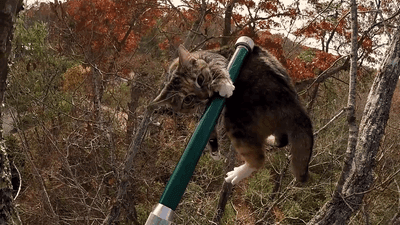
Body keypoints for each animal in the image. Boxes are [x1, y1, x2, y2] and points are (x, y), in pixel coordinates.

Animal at [150, 43, 312, 185]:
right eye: (188, 99)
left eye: (200, 79)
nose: (205, 95)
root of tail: (296, 107)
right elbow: (210, 131)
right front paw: (214, 150)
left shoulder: (216, 58)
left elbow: (218, 68)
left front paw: (224, 85)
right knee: (282, 140)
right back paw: (270, 140)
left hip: (235, 120)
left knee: (258, 159)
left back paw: (236, 174)